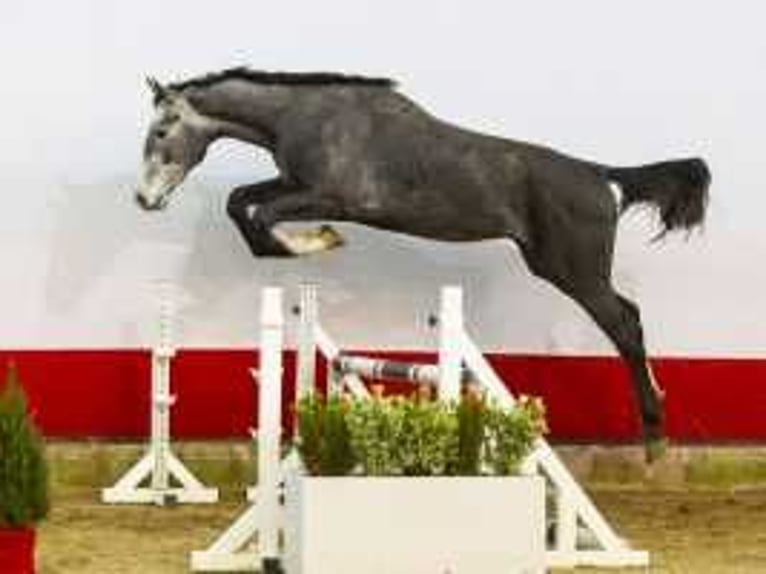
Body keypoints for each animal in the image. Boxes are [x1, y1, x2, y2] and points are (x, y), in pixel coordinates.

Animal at [134, 67, 712, 464]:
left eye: (161, 132)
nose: (144, 200)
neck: (309, 116)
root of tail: (602, 176)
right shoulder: (293, 184)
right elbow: (240, 203)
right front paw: (311, 242)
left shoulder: (333, 198)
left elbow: (261, 218)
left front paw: (316, 241)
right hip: (560, 266)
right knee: (627, 317)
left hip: (573, 271)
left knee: (626, 322)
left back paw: (656, 436)